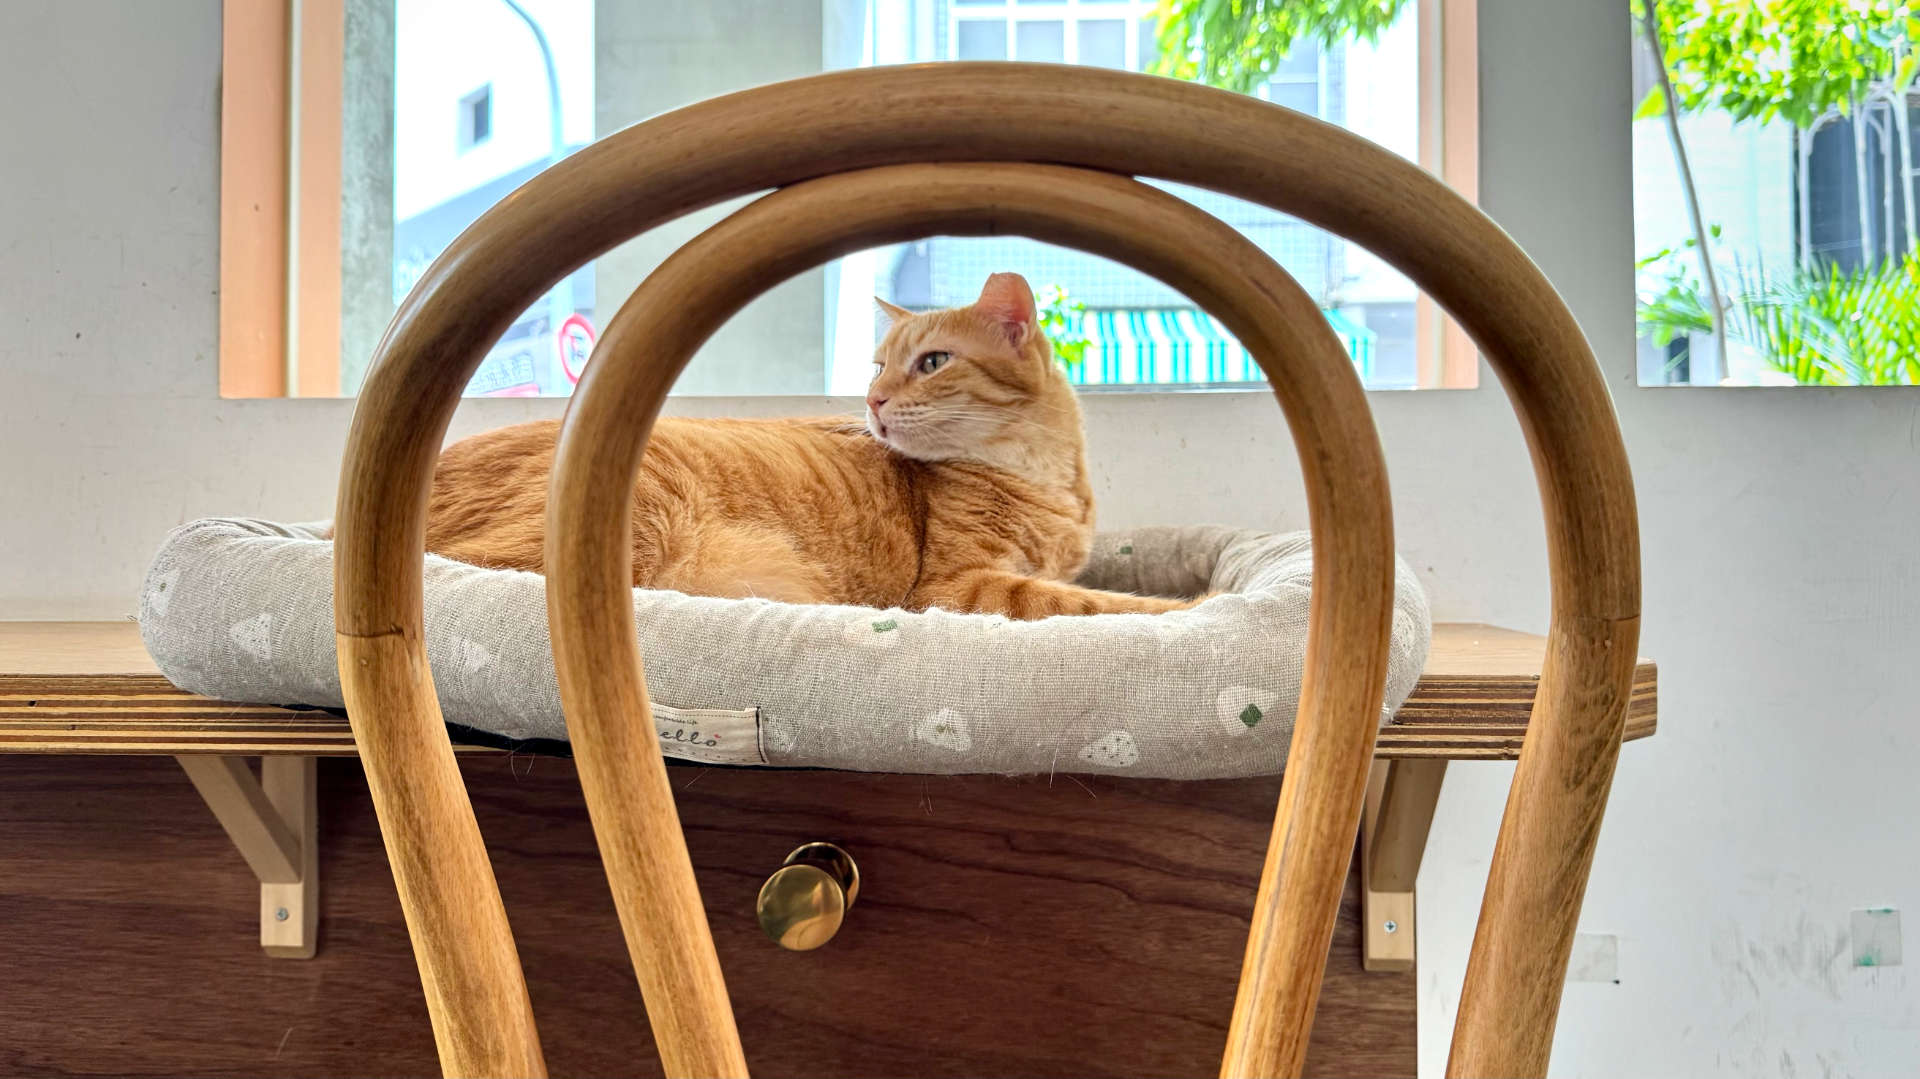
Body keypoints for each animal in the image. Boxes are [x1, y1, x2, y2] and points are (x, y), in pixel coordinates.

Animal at [428, 272, 1190, 618]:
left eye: (932, 362)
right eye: (877, 366)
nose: (873, 402)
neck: (1043, 478)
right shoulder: (956, 587)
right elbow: (1098, 605)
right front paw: (1191, 608)